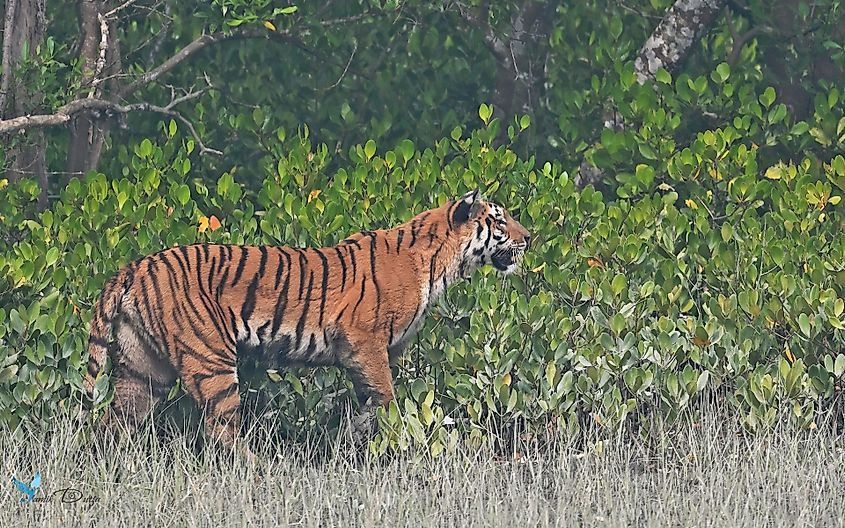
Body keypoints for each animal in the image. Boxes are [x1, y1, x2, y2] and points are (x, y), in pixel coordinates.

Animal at [85, 190, 532, 454]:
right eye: (499, 220)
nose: (530, 238)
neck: (442, 263)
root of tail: (136, 266)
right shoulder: (364, 341)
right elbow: (387, 400)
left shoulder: (375, 353)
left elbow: (369, 404)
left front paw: (347, 445)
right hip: (210, 361)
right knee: (222, 429)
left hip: (144, 369)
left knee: (115, 421)